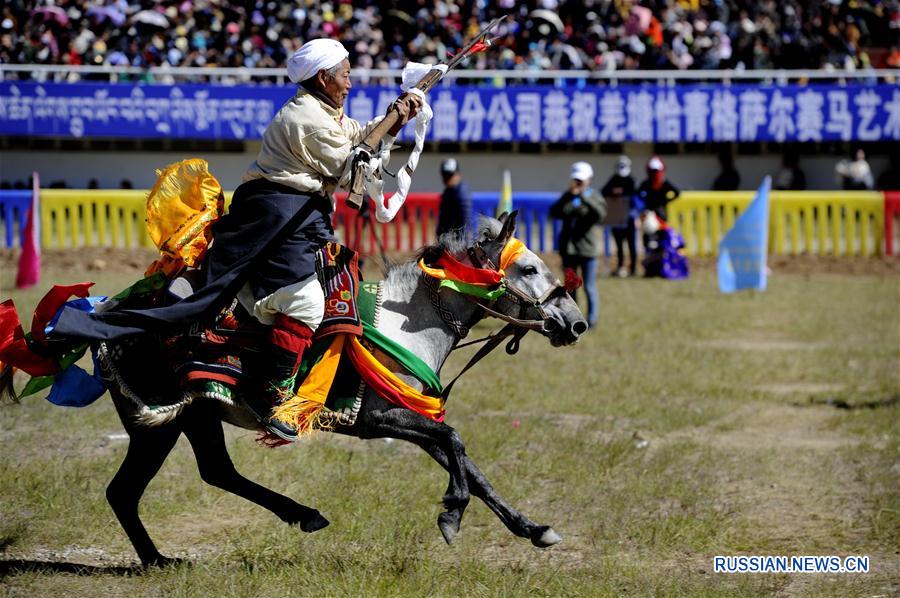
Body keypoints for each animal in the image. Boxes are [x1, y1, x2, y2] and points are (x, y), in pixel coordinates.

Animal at [81, 213, 588, 568]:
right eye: (529, 268)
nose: (576, 323)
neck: (406, 326)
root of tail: (107, 312)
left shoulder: (413, 423)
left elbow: (468, 465)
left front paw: (534, 529)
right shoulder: (380, 419)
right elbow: (455, 441)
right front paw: (451, 515)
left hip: (187, 417)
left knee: (193, 476)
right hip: (165, 421)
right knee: (138, 489)